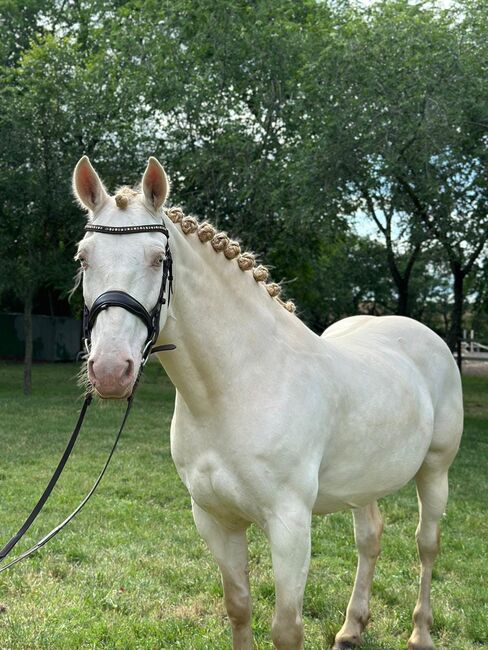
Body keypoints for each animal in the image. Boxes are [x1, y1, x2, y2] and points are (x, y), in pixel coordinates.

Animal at [71, 157, 462, 648]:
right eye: (84, 257)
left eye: (158, 258)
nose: (109, 371)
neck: (238, 387)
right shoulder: (215, 519)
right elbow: (238, 608)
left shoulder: (289, 525)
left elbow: (286, 629)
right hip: (364, 482)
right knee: (370, 538)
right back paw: (351, 628)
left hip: (435, 470)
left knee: (427, 545)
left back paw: (420, 634)